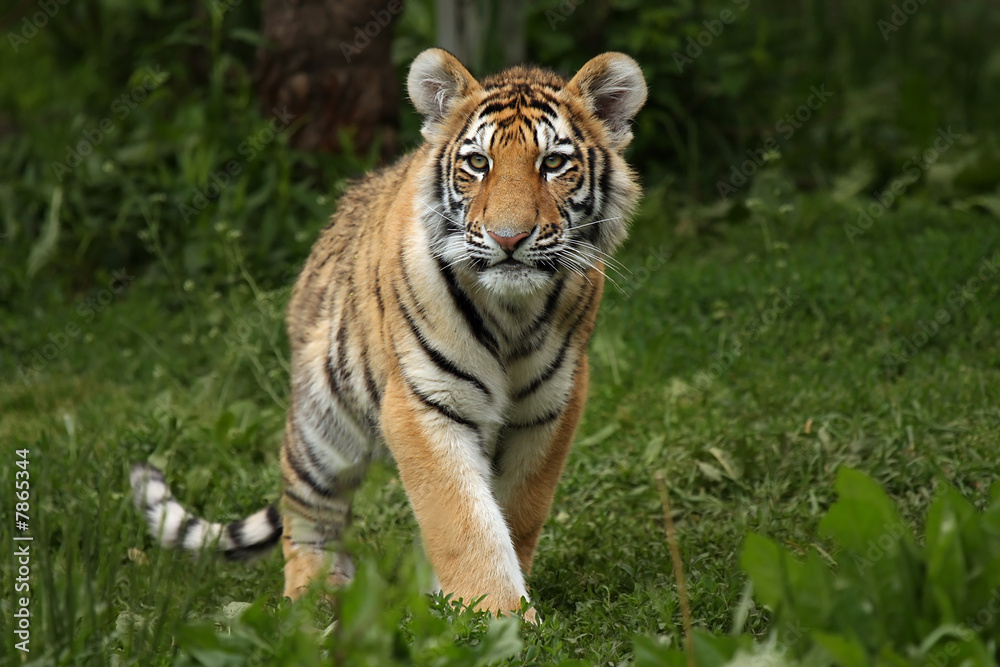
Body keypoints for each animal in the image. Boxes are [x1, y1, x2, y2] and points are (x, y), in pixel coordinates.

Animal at [131, 47, 647, 622]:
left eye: (553, 164)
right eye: (478, 164)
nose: (509, 238)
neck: (511, 311)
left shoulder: (549, 407)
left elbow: (515, 511)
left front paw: (477, 609)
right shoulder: (425, 402)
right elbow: (464, 521)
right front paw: (501, 619)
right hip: (323, 424)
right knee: (306, 513)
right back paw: (313, 600)